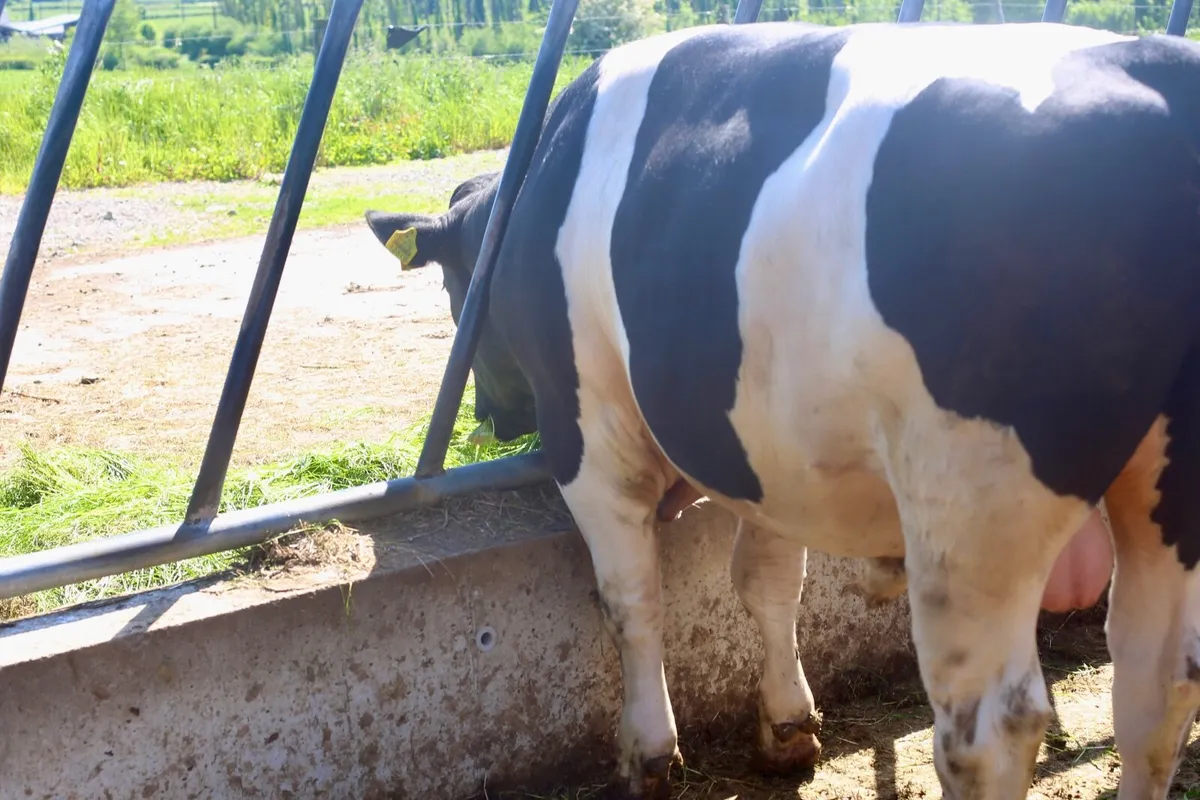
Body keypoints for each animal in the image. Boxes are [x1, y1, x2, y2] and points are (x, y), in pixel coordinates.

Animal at [366, 21, 1200, 799]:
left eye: (454, 290)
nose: (491, 418)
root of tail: (1156, 70)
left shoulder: (592, 438)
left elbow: (630, 599)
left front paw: (649, 753)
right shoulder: (770, 455)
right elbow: (768, 580)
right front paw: (788, 726)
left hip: (972, 503)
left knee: (993, 729)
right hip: (1163, 501)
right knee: (1157, 685)